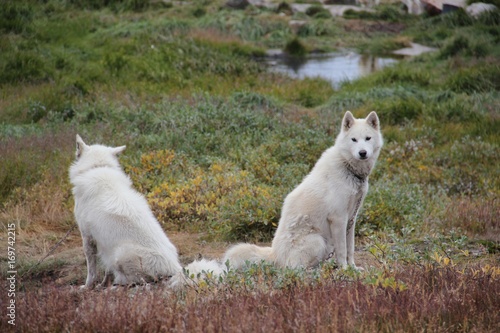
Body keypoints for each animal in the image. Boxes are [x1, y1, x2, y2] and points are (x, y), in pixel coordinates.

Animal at [70, 135, 221, 288]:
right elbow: (106, 270)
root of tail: (175, 268)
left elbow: (91, 271)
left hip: (121, 254)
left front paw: (87, 287)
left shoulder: (87, 237)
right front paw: (102, 285)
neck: (97, 168)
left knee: (138, 282)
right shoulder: (105, 243)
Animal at [223, 111, 382, 270]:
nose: (362, 153)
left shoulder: (351, 219)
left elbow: (351, 249)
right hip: (318, 240)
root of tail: (275, 255)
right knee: (295, 269)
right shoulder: (338, 219)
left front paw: (353, 268)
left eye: (368, 138)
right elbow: (342, 251)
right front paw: (344, 269)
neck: (348, 168)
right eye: (353, 140)